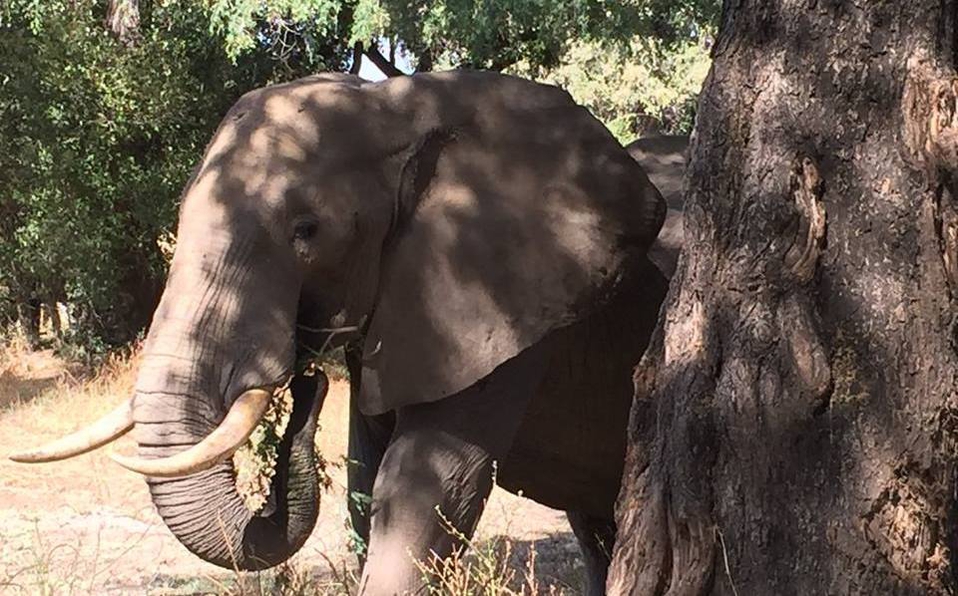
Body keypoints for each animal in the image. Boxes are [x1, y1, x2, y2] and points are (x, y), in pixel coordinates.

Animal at [11, 72, 686, 595]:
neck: (403, 106)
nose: (306, 385)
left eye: (307, 230)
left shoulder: (508, 299)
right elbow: (368, 469)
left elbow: (424, 487)